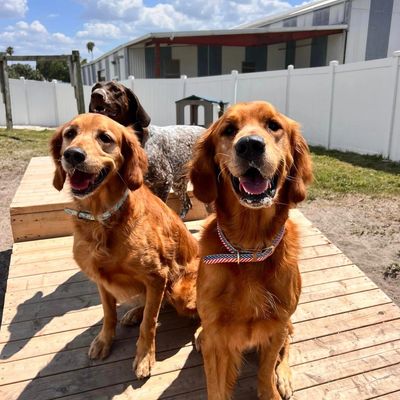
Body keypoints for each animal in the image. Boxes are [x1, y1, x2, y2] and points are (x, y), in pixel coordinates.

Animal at [50, 111, 199, 378]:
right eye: (70, 134)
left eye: (105, 138)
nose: (73, 155)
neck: (102, 216)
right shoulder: (102, 279)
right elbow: (109, 313)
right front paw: (104, 341)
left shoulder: (157, 275)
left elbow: (149, 323)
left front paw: (144, 357)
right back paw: (133, 312)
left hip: (182, 290)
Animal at [189, 101, 314, 398]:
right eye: (229, 129)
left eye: (273, 125)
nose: (249, 146)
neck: (249, 250)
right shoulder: (217, 338)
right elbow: (216, 387)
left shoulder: (276, 327)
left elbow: (266, 371)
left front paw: (273, 386)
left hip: (286, 324)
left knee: (286, 349)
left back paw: (285, 377)